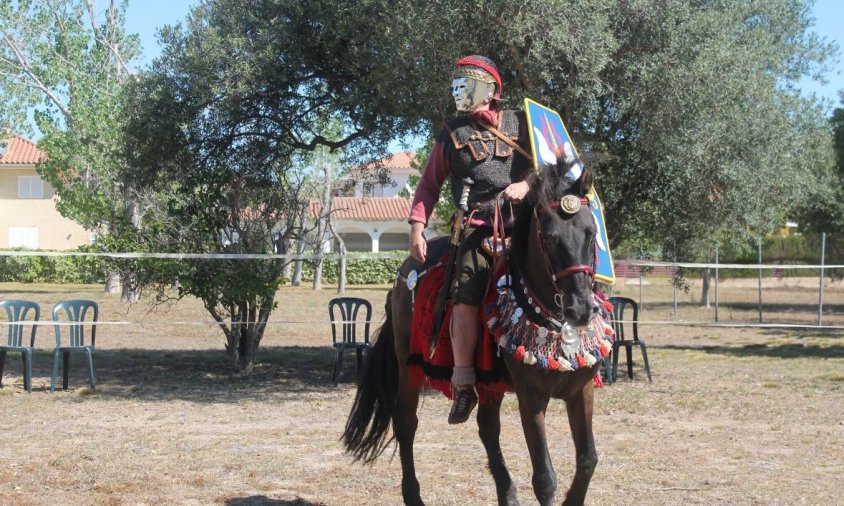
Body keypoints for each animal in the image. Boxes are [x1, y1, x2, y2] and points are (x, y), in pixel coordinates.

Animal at [342, 159, 608, 506]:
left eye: (591, 233)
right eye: (548, 238)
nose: (580, 309)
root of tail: (404, 273)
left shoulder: (581, 390)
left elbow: (588, 460)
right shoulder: (531, 398)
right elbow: (545, 478)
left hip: (489, 381)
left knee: (487, 428)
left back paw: (506, 493)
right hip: (408, 365)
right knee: (406, 423)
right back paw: (414, 494)